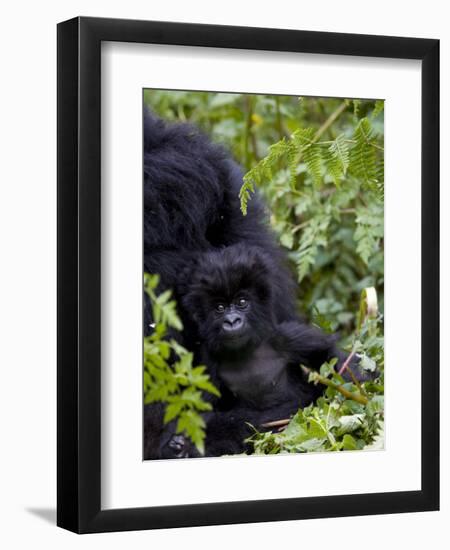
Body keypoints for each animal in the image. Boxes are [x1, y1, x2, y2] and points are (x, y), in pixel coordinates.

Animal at [165, 244, 362, 460]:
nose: (232, 321)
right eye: (220, 307)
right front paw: (184, 444)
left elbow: (329, 356)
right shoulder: (206, 364)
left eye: (242, 302)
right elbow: (200, 412)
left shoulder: (286, 337)